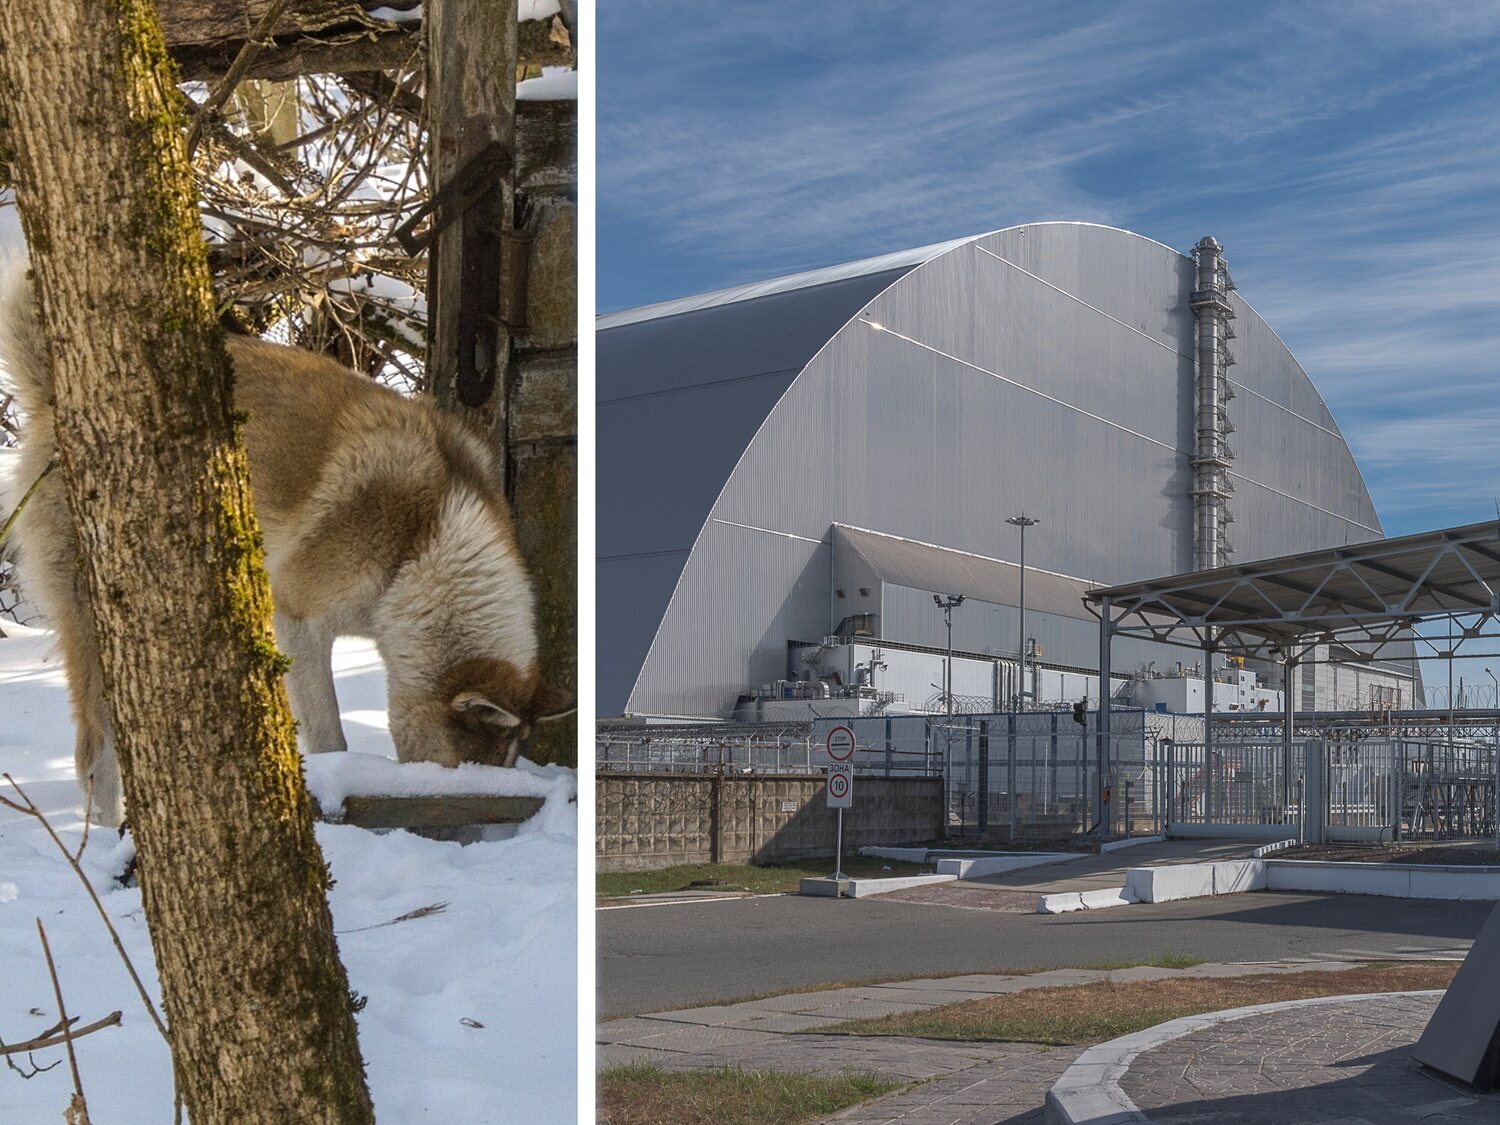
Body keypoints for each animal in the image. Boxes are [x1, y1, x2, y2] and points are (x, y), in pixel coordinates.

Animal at [0, 267, 570, 828]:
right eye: (465, 773)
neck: (424, 538)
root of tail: (59, 398)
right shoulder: (298, 622)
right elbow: (331, 737)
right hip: (94, 620)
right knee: (93, 750)